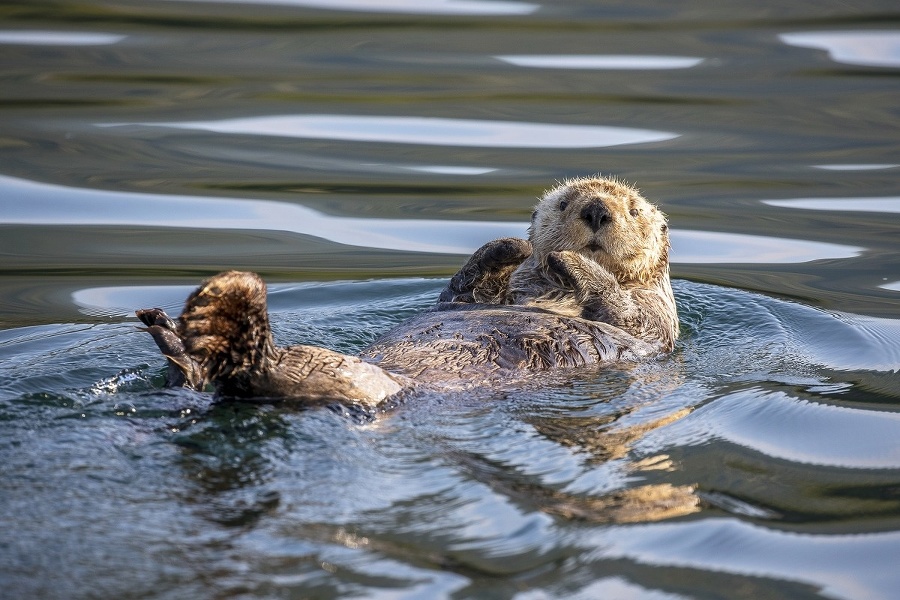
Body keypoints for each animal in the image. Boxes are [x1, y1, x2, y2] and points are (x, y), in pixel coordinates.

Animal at [137, 175, 676, 408]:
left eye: (632, 209)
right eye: (564, 203)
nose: (597, 210)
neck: (554, 293)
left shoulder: (655, 318)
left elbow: (623, 309)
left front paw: (572, 262)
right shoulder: (475, 296)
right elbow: (463, 291)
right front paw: (510, 247)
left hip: (343, 378)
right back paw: (181, 339)